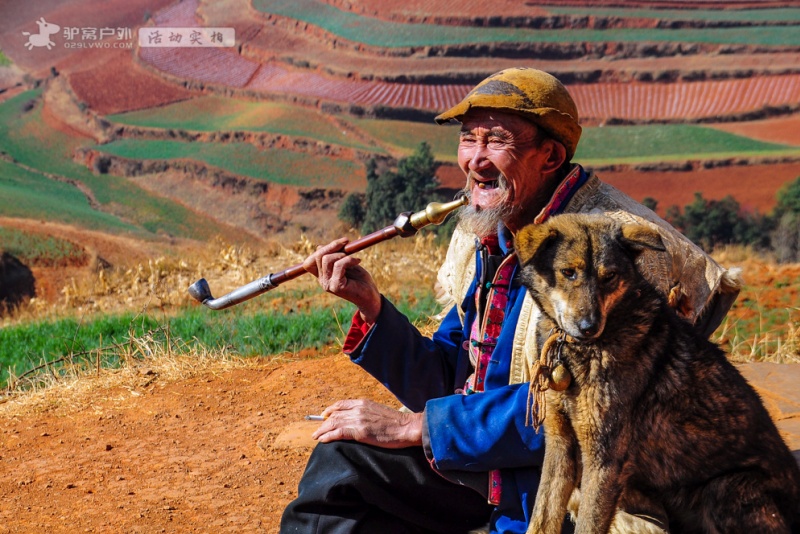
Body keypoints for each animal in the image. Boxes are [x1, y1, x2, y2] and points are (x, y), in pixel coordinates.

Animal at [512, 215, 800, 534]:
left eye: (609, 276)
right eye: (568, 272)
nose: (589, 327)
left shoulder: (604, 458)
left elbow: (588, 523)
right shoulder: (560, 443)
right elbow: (542, 516)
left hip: (726, 487)